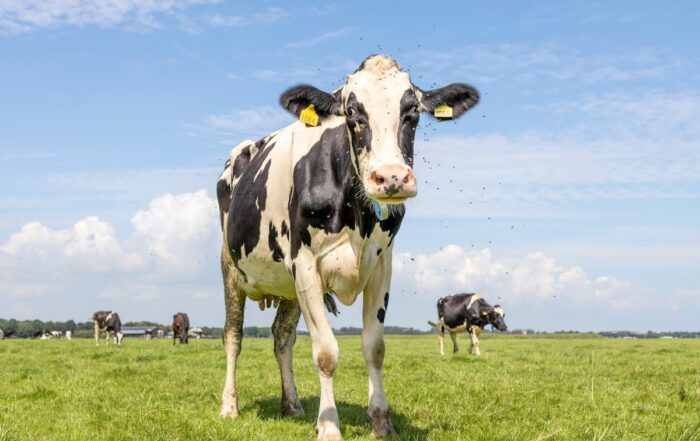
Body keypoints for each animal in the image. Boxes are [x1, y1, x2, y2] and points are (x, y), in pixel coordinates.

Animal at [216, 54, 479, 440]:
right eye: (353, 112)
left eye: (413, 112)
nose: (392, 177)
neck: (356, 217)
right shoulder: (305, 265)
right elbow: (325, 353)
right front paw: (328, 425)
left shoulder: (381, 266)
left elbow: (375, 347)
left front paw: (381, 421)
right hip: (230, 267)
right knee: (233, 336)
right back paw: (229, 406)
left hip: (288, 287)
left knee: (282, 338)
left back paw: (292, 405)